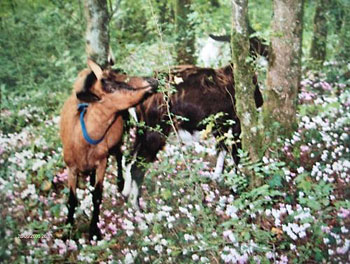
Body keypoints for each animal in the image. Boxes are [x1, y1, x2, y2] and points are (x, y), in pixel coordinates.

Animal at [59, 60, 158, 239]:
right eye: (110, 86)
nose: (151, 81)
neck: (83, 138)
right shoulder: (71, 168)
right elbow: (72, 200)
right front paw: (67, 230)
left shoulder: (102, 161)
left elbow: (97, 196)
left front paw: (94, 230)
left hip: (120, 132)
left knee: (119, 155)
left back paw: (120, 182)